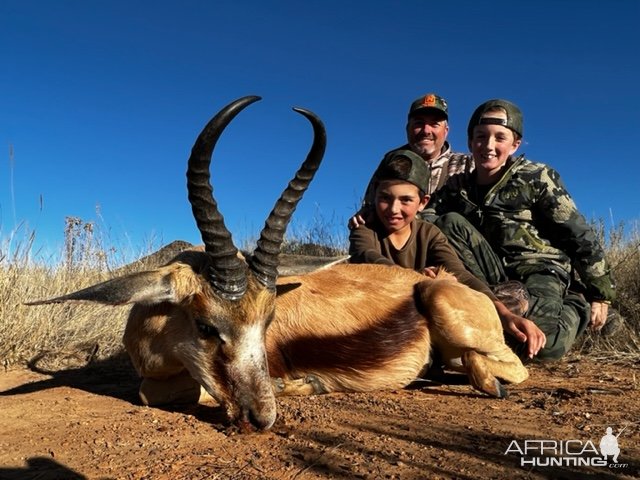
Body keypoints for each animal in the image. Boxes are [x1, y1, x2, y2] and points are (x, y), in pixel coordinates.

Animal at [27, 96, 528, 432]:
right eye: (206, 326)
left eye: (268, 323)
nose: (261, 417)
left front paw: (304, 386)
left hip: (445, 305)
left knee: (510, 370)